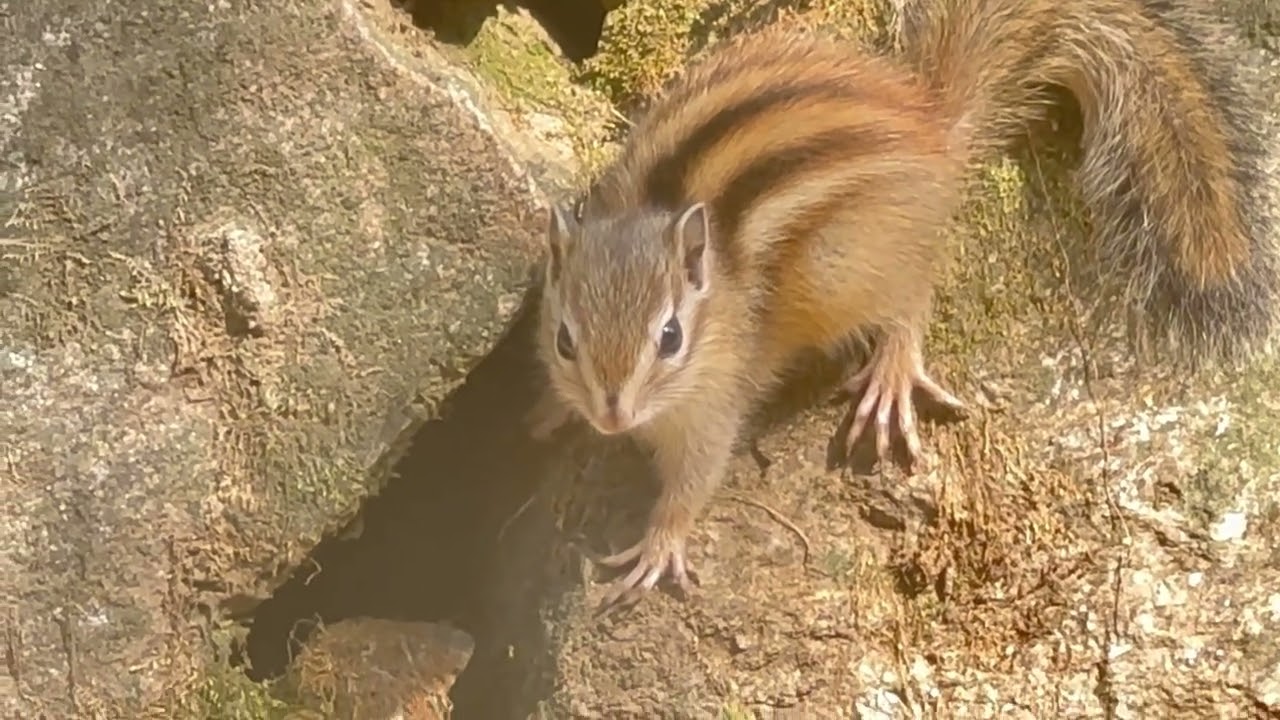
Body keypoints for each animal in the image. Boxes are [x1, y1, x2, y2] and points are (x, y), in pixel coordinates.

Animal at [526, 0, 1278, 606]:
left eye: (671, 338)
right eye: (564, 340)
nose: (611, 415)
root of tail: (931, 123)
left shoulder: (716, 401)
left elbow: (695, 480)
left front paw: (659, 546)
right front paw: (551, 418)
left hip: (846, 266)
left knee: (914, 292)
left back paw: (891, 372)